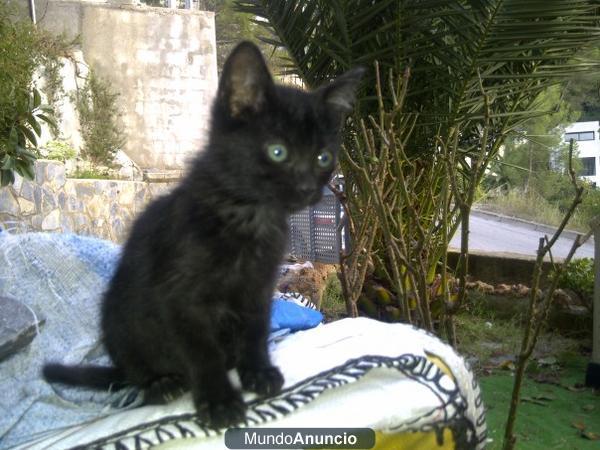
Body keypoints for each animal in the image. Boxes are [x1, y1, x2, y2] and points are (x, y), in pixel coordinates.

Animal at [43, 42, 360, 428]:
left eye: (323, 157)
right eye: (278, 151)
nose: (306, 189)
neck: (249, 217)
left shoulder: (258, 287)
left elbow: (255, 331)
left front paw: (257, 372)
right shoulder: (181, 297)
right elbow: (202, 352)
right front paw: (219, 401)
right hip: (118, 317)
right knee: (136, 368)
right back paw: (160, 383)